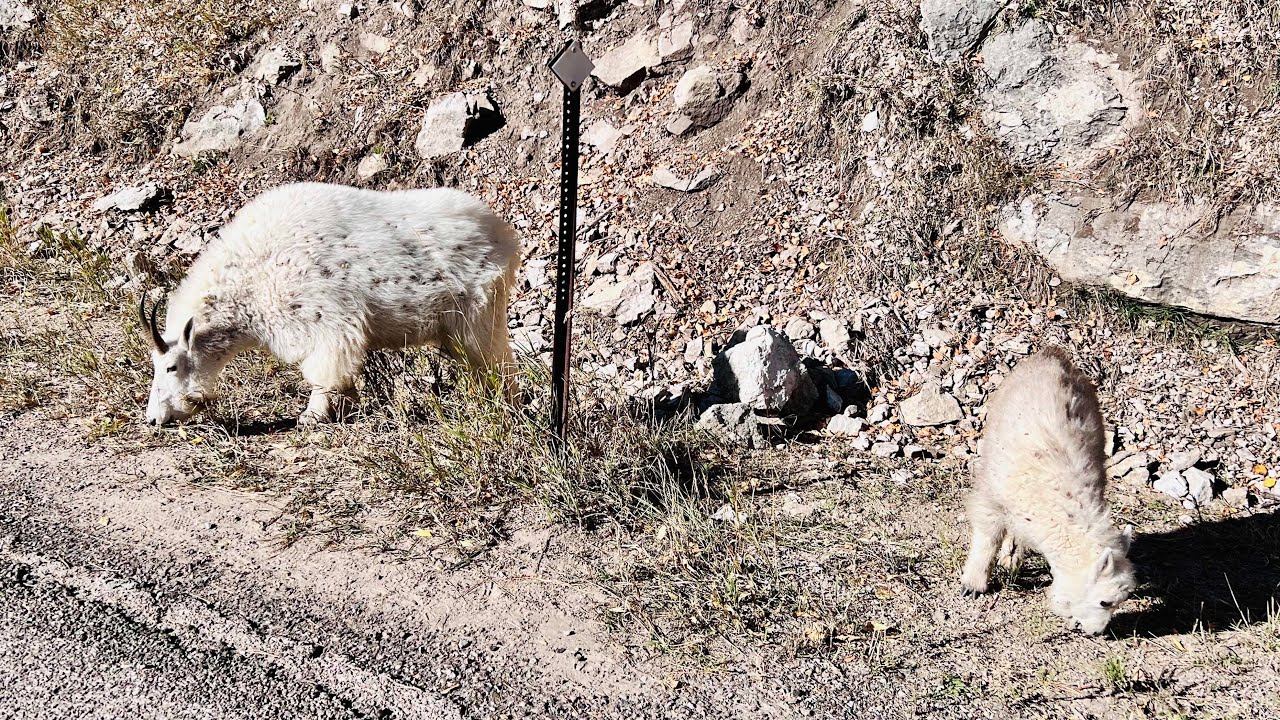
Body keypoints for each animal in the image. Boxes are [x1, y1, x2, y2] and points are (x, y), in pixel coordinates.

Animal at [141, 182, 520, 426]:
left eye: (171, 367)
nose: (155, 419)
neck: (251, 276)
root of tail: (505, 236)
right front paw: (350, 407)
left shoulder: (327, 324)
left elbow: (324, 373)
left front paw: (311, 417)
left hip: (479, 314)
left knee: (498, 363)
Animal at [960, 346, 1136, 635]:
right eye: (1105, 601)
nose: (1096, 632)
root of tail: (1052, 354)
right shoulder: (992, 496)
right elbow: (988, 536)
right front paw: (973, 584)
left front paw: (1010, 559)